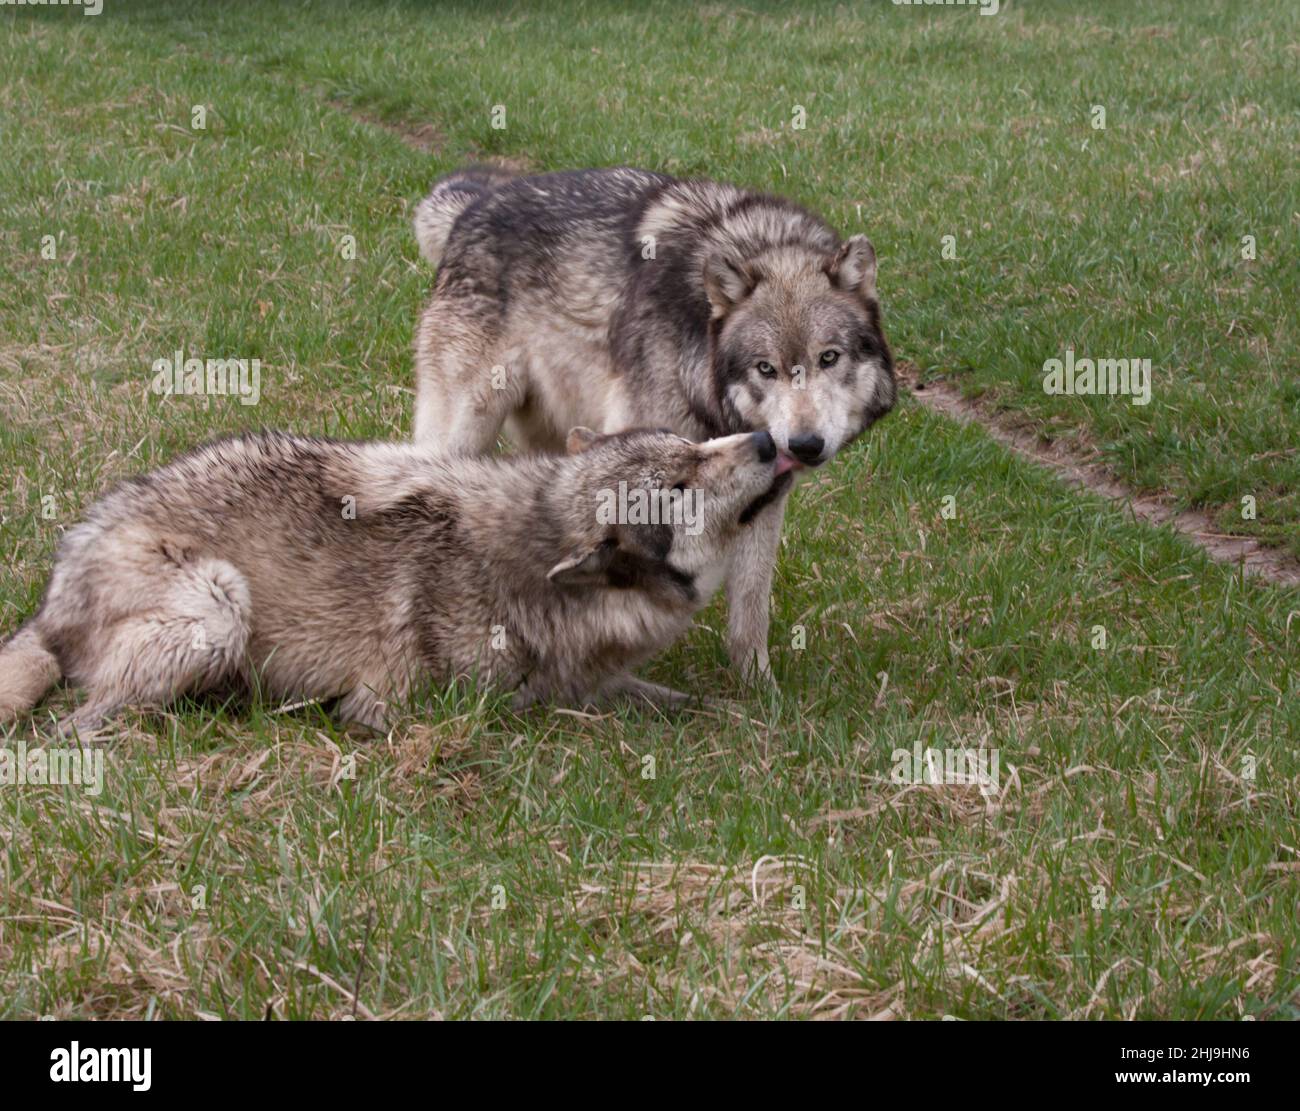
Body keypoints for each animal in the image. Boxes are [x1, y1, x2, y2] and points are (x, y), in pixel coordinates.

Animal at [0, 428, 795, 738]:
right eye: (678, 486)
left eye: (695, 443)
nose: (767, 439)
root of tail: (54, 592)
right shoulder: (402, 708)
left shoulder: (595, 678)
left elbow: (686, 701)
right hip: (219, 609)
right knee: (75, 722)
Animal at [413, 166, 894, 686]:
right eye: (766, 368)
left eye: (829, 358)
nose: (804, 445)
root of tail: (477, 201)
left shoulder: (763, 492)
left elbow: (750, 612)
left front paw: (760, 691)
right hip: (462, 430)